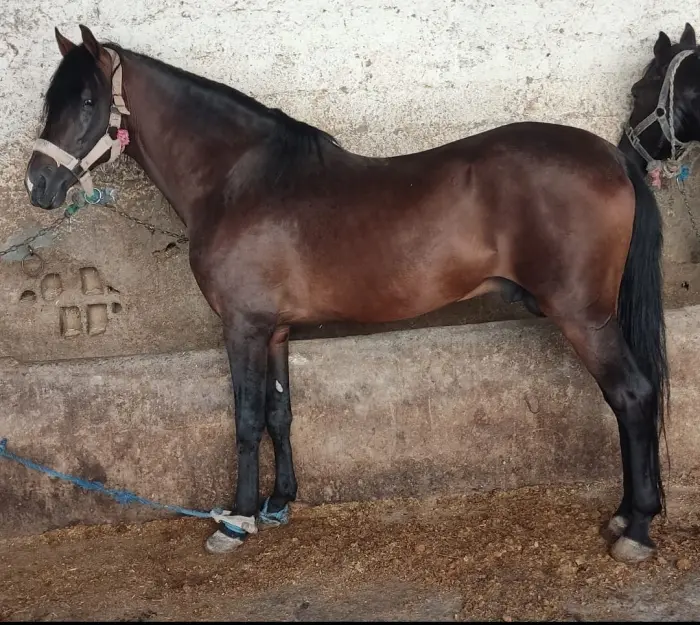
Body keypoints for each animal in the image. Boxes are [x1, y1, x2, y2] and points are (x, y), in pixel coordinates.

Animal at [24, 25, 668, 564]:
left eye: (88, 103)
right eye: (51, 102)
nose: (38, 184)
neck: (241, 182)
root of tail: (611, 155)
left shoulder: (243, 326)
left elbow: (245, 419)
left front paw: (236, 521)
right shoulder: (275, 330)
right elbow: (280, 413)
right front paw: (278, 503)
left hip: (583, 317)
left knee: (632, 395)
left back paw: (636, 530)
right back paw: (626, 516)